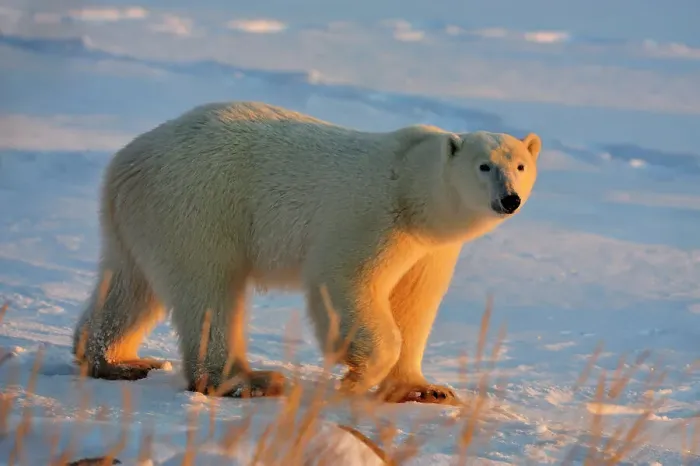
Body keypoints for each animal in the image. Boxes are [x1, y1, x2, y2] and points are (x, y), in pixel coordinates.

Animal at [72, 101, 541, 405]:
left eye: (520, 165)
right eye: (484, 166)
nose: (509, 199)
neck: (412, 184)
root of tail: (126, 162)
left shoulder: (429, 249)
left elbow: (414, 303)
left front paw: (426, 388)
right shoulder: (371, 216)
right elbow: (344, 281)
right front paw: (356, 379)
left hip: (142, 221)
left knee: (129, 287)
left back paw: (116, 360)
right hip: (199, 205)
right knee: (208, 291)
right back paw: (248, 381)